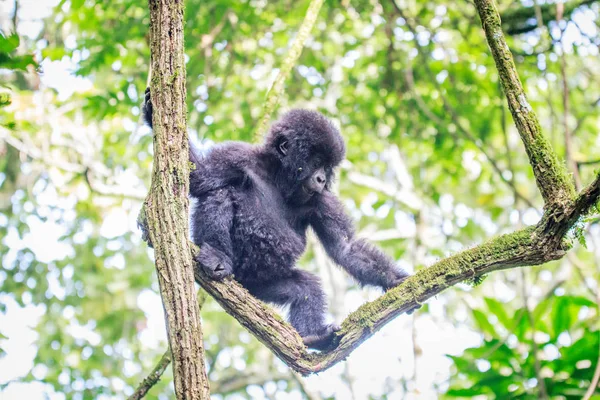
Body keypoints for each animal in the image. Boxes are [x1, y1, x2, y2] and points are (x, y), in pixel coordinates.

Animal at [143, 90, 410, 350]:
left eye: (327, 167)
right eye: (316, 162)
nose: (322, 179)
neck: (279, 178)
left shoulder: (322, 200)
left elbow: (345, 247)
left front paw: (393, 279)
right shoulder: (237, 156)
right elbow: (201, 177)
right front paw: (151, 114)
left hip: (262, 286)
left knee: (306, 287)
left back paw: (314, 335)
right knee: (220, 193)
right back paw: (217, 255)